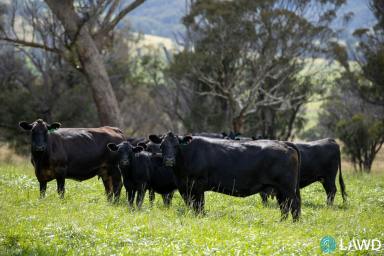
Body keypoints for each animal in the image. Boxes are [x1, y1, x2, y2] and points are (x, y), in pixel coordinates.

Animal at [148, 133, 302, 221]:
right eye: (161, 145)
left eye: (176, 146)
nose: (168, 160)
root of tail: (284, 143)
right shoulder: (184, 188)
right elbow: (191, 205)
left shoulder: (198, 186)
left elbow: (199, 206)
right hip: (280, 189)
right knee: (284, 206)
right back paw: (282, 222)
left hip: (287, 187)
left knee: (294, 203)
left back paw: (295, 223)